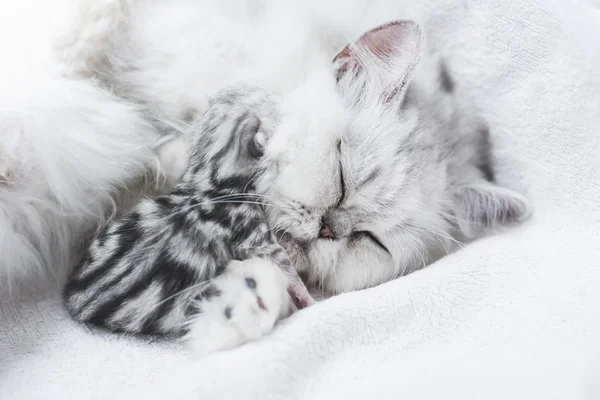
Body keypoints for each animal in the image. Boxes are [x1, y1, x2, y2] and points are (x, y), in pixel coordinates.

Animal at [63, 86, 312, 356]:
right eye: (266, 102)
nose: (278, 97)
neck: (210, 177)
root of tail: (73, 301)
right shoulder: (256, 235)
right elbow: (285, 266)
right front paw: (308, 299)